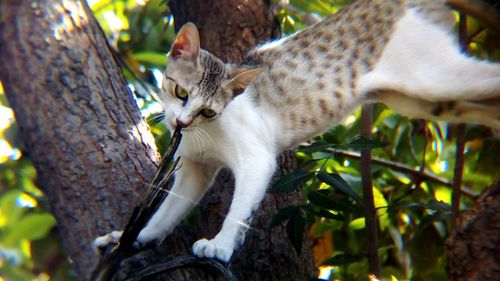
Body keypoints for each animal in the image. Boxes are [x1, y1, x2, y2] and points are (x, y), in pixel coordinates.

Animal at [94, 0, 500, 260]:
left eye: (208, 110)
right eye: (180, 92)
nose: (181, 122)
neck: (206, 133)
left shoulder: (257, 159)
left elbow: (238, 209)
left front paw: (221, 246)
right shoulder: (195, 168)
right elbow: (166, 212)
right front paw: (132, 239)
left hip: (434, 79)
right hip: (421, 100)